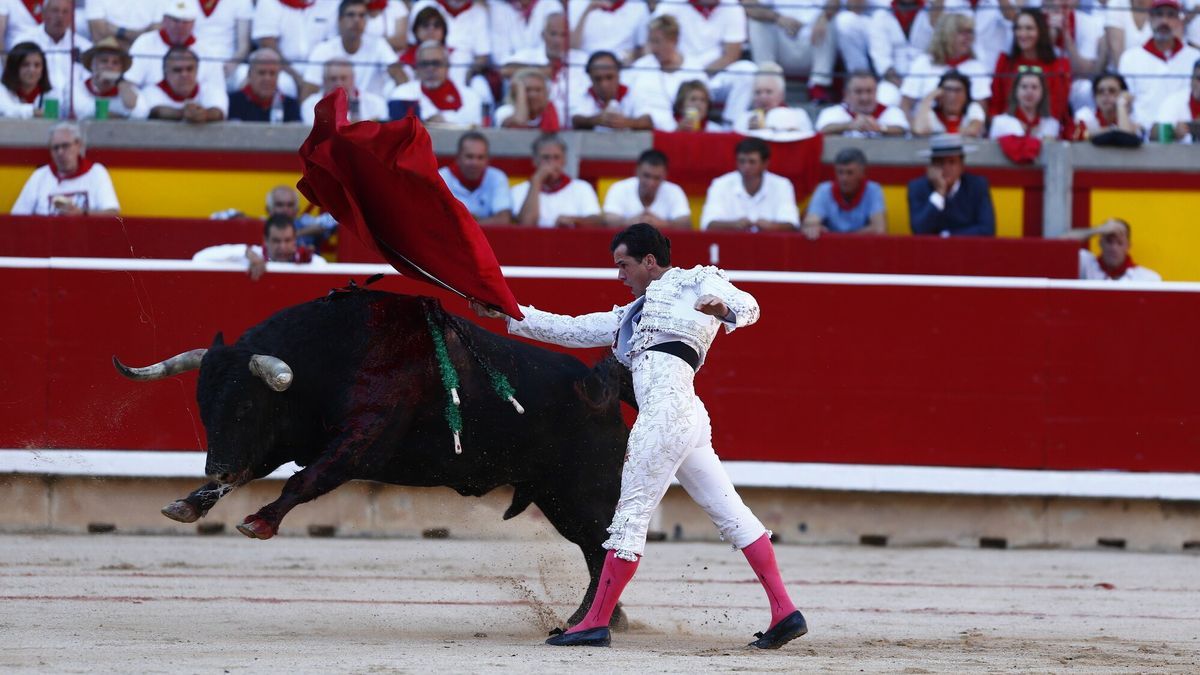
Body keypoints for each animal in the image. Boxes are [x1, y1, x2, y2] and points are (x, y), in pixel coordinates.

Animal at [115, 284, 633, 624]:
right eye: (202, 404)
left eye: (244, 405)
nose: (217, 465)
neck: (336, 356)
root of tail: (601, 388)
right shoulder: (284, 440)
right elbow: (252, 473)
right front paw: (189, 503)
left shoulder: (360, 441)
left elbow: (305, 479)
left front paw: (259, 521)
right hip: (558, 497)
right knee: (593, 548)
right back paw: (601, 618)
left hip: (586, 491)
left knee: (602, 544)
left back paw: (591, 619)